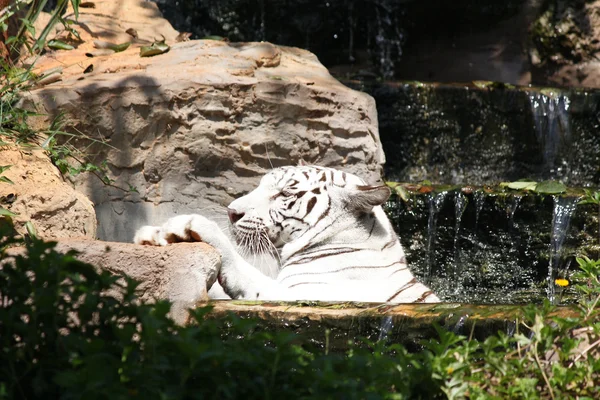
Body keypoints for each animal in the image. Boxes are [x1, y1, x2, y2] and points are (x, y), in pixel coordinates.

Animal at [134, 166, 438, 304]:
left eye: (283, 194)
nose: (232, 212)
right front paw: (153, 234)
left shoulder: (302, 295)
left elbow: (241, 268)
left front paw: (188, 224)